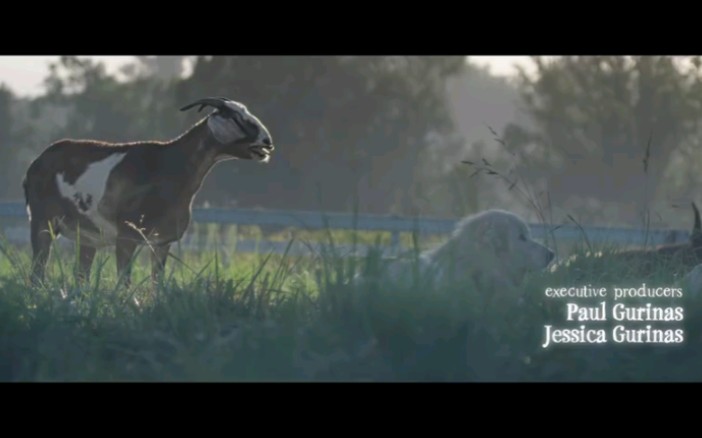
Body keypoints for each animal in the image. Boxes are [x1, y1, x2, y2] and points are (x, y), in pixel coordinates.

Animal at [22, 97, 276, 286]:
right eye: (237, 119)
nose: (267, 142)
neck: (168, 165)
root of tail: (36, 162)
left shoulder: (162, 241)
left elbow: (157, 284)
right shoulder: (127, 235)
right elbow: (124, 283)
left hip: (86, 236)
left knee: (80, 276)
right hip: (42, 220)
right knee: (37, 273)